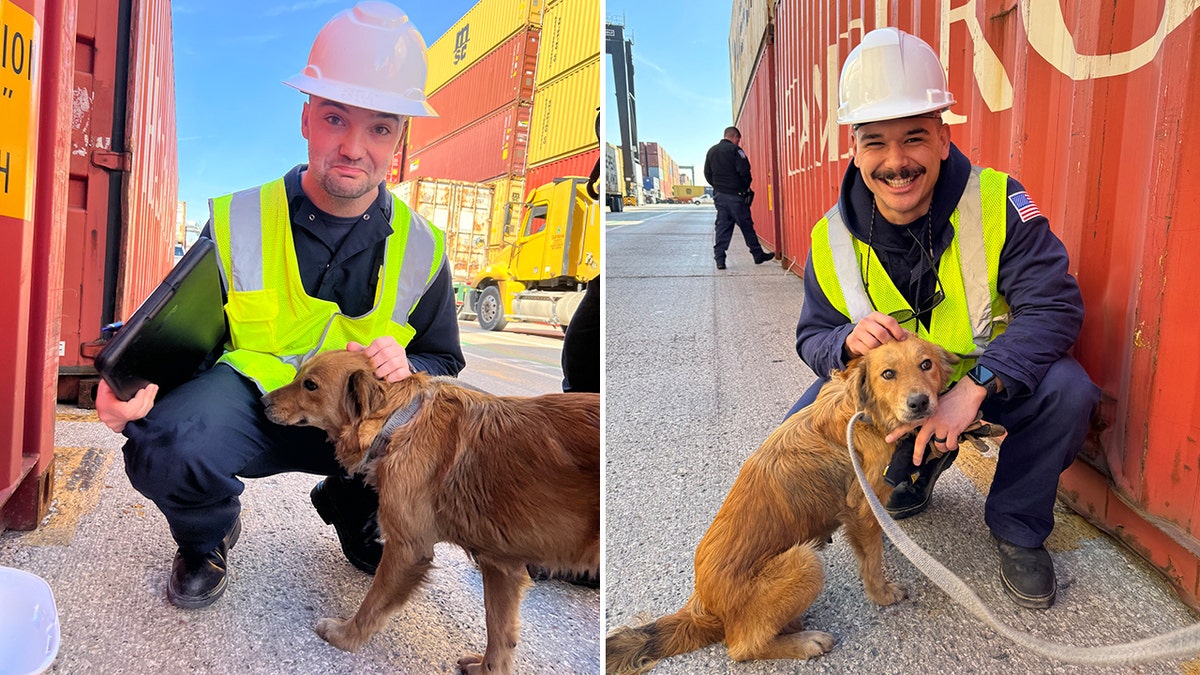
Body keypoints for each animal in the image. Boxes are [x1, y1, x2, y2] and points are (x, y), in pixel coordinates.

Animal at [262, 348, 600, 667]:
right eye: (299, 375)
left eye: (310, 385)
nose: (263, 402)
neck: (401, 421)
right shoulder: (501, 565)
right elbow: (500, 634)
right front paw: (487, 667)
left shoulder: (407, 550)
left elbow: (373, 604)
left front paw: (346, 635)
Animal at [604, 333, 960, 667]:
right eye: (888, 374)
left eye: (926, 364)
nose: (919, 403)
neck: (861, 413)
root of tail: (703, 608)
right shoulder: (863, 509)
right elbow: (872, 562)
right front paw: (883, 594)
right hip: (805, 562)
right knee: (741, 648)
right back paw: (804, 642)